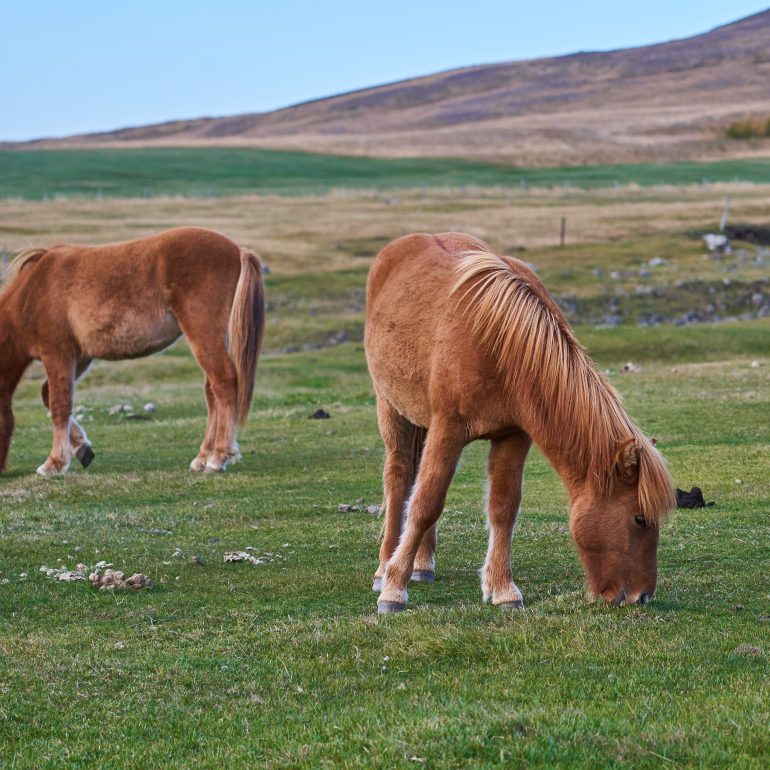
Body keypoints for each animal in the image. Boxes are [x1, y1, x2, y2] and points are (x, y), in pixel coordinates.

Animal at [0, 227, 264, 476]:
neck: (32, 294)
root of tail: (237, 251)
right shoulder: (80, 358)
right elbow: (48, 396)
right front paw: (82, 449)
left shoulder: (57, 354)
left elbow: (59, 404)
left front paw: (54, 463)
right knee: (211, 392)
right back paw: (202, 457)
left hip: (203, 334)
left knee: (223, 383)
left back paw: (219, 458)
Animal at [364, 232, 675, 613]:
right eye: (639, 518)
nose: (641, 596)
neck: (498, 342)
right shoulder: (448, 429)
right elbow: (425, 504)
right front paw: (395, 589)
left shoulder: (513, 435)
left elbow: (503, 507)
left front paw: (503, 590)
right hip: (391, 409)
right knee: (399, 479)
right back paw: (384, 569)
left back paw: (421, 565)